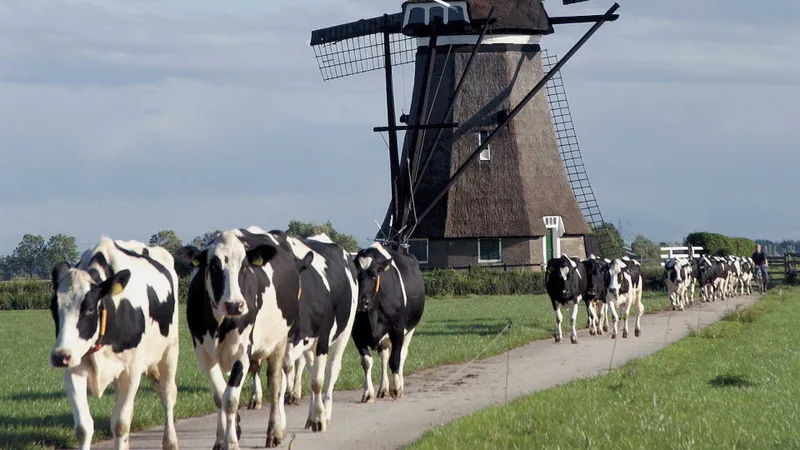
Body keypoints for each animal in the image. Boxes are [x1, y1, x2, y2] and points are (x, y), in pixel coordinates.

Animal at [49, 237, 179, 448]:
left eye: (90, 309)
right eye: (53, 308)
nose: (60, 356)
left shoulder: (132, 370)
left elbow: (120, 424)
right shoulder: (73, 370)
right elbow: (83, 428)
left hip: (170, 350)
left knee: (167, 393)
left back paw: (170, 442)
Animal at [177, 229, 302, 450]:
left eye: (244, 266)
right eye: (213, 267)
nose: (234, 305)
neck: (220, 323)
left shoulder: (242, 352)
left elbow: (231, 399)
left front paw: (232, 442)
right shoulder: (202, 352)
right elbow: (219, 395)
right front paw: (223, 437)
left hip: (279, 341)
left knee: (275, 384)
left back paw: (275, 431)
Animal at [352, 244, 424, 402]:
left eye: (374, 275)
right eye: (356, 276)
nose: (362, 302)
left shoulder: (397, 329)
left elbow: (395, 360)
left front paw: (396, 388)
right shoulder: (356, 334)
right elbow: (366, 362)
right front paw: (368, 393)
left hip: (410, 330)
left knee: (402, 355)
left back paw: (399, 385)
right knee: (384, 357)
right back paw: (383, 388)